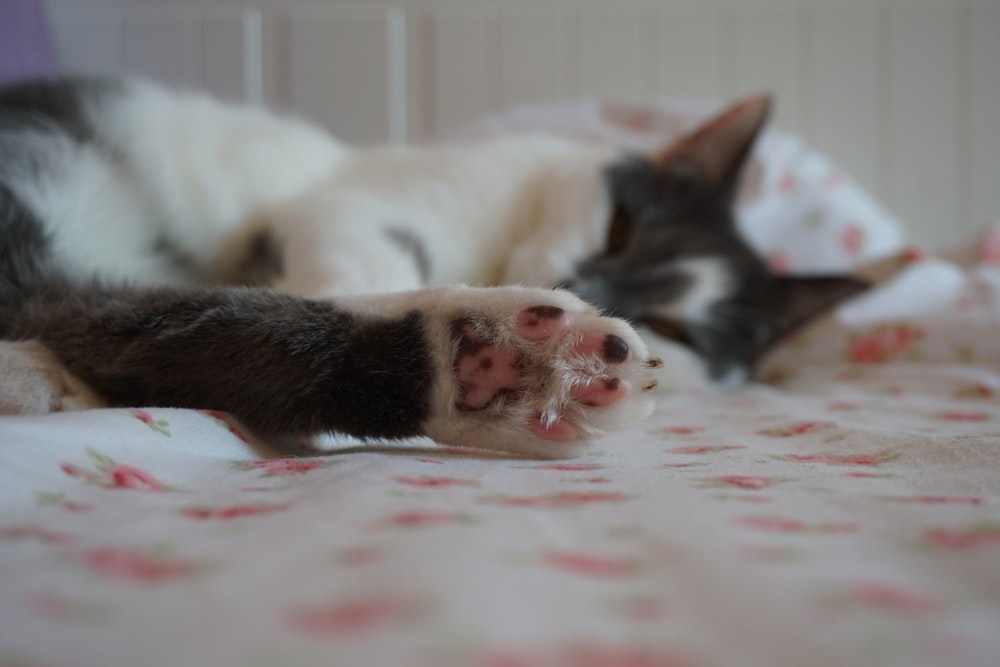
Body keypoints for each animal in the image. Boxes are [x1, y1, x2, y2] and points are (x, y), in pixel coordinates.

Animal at [0, 74, 868, 460]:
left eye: (673, 329)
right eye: (620, 227)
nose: (590, 286)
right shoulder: (338, 205)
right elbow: (352, 255)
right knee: (79, 305)